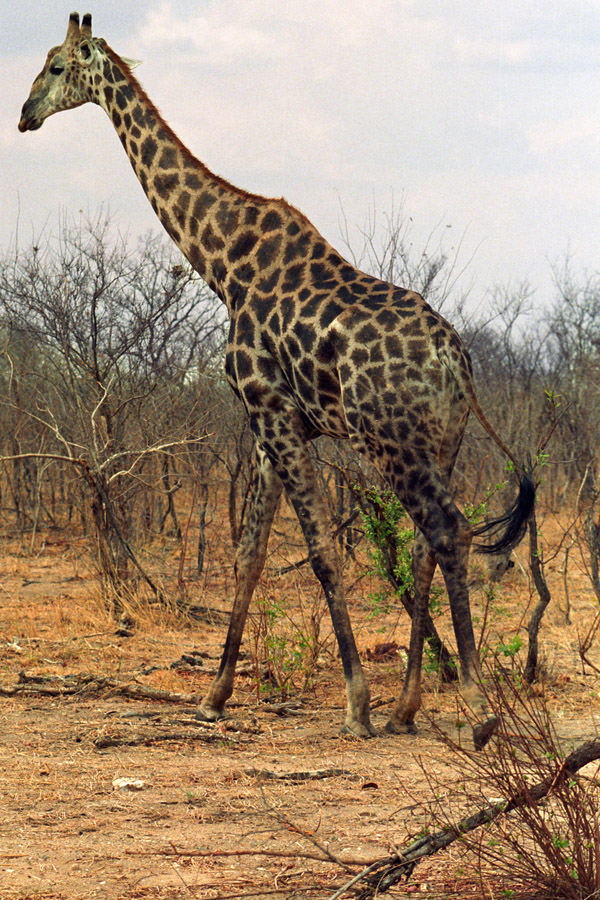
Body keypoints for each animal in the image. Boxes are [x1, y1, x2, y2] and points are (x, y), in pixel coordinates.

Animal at [19, 12, 536, 744]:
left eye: (58, 67)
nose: (25, 115)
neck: (225, 265)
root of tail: (456, 362)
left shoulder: (270, 410)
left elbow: (320, 552)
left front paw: (355, 705)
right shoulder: (272, 425)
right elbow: (250, 554)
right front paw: (214, 697)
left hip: (394, 441)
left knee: (447, 529)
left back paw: (476, 707)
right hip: (440, 440)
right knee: (430, 541)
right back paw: (409, 708)